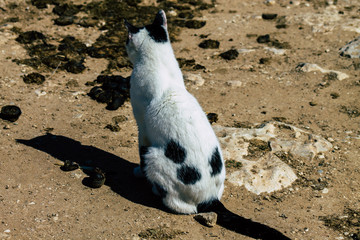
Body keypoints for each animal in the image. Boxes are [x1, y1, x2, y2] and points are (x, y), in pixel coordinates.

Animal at [125, 9, 292, 240]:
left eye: (127, 40)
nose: (124, 46)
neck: (160, 67)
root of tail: (210, 198)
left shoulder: (142, 128)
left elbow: (140, 151)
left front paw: (138, 173)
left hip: (155, 157)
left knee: (180, 205)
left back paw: (155, 190)